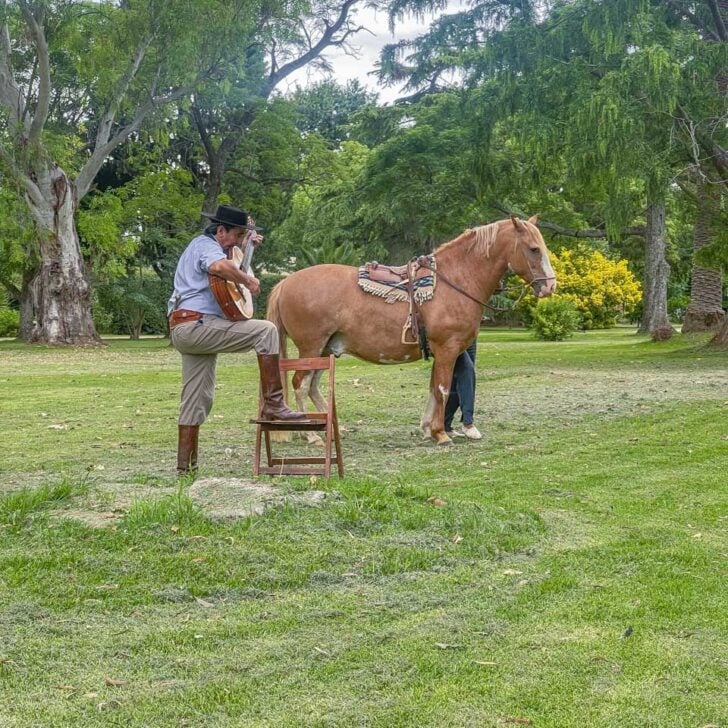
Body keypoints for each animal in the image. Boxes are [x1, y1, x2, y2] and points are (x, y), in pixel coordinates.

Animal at [266, 215, 557, 445]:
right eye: (533, 249)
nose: (550, 286)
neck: (455, 281)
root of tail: (286, 282)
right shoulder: (447, 349)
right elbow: (443, 388)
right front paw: (441, 433)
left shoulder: (442, 351)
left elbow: (433, 388)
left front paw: (428, 429)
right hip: (311, 347)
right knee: (300, 384)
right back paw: (311, 434)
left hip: (325, 350)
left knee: (312, 386)